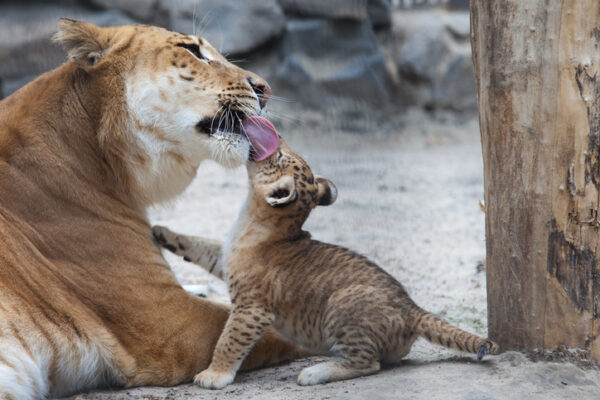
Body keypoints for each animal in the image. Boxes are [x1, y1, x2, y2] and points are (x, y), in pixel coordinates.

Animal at [154, 139, 496, 390]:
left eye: (280, 155)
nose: (276, 138)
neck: (256, 220)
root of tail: (413, 307)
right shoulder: (225, 258)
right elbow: (200, 245)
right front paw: (162, 232)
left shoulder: (253, 307)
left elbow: (230, 340)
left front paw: (214, 375)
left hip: (342, 305)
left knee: (368, 363)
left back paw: (316, 372)